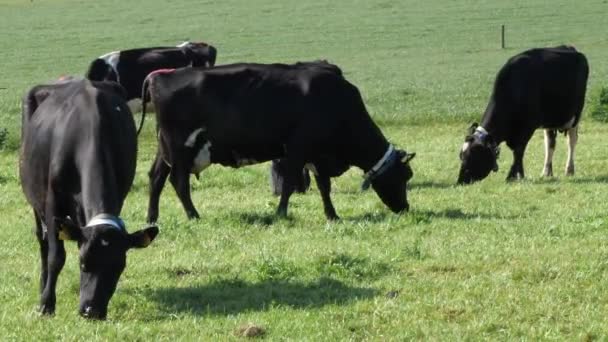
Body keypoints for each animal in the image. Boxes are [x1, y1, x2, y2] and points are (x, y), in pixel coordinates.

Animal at [20, 79, 159, 320]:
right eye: (83, 264)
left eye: (118, 268)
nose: (91, 310)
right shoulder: (53, 203)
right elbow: (56, 256)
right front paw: (47, 304)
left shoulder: (119, 195)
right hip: (35, 202)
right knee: (43, 242)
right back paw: (43, 286)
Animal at [138, 61, 416, 222]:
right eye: (404, 177)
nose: (405, 208)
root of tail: (159, 76)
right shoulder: (297, 149)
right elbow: (290, 184)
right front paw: (281, 213)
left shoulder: (317, 155)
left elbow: (324, 187)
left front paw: (332, 215)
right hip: (180, 148)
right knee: (178, 182)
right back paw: (194, 215)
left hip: (165, 150)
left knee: (156, 178)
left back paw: (152, 218)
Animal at [458, 46, 588, 184]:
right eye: (461, 155)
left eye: (474, 155)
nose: (460, 181)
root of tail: (569, 48)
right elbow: (518, 152)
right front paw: (517, 175)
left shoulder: (527, 128)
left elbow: (518, 151)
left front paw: (513, 175)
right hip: (549, 122)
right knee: (550, 144)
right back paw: (546, 172)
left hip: (575, 116)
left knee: (572, 141)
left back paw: (569, 170)